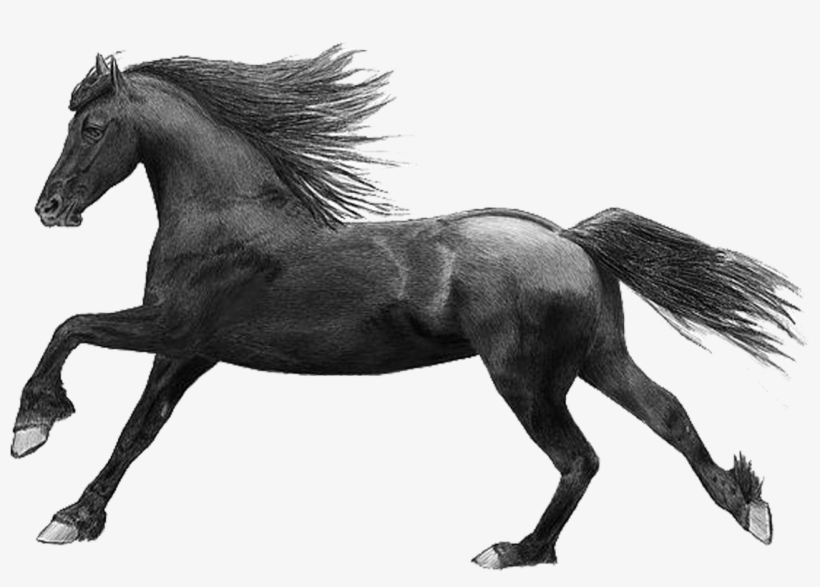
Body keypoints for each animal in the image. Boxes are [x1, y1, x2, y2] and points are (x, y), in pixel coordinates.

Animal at [11, 48, 800, 569]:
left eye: (92, 126)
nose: (48, 208)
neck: (227, 218)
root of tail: (571, 239)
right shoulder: (186, 351)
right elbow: (135, 433)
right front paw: (74, 516)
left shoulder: (172, 328)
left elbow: (69, 327)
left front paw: (33, 426)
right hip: (597, 359)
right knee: (667, 413)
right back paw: (747, 508)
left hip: (526, 378)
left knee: (580, 457)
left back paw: (515, 550)